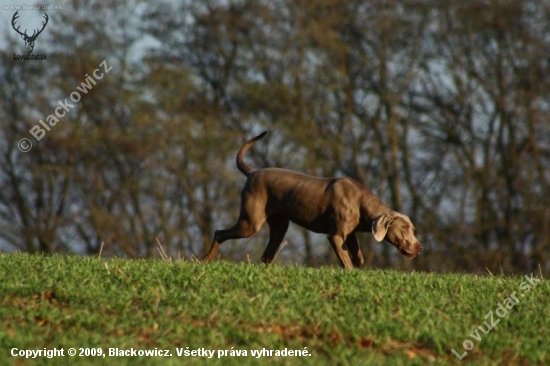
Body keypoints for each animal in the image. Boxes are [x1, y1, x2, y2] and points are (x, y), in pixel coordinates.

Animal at [205, 132, 424, 268]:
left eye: (412, 229)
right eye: (404, 229)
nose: (420, 247)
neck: (361, 203)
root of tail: (252, 172)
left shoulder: (351, 235)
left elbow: (358, 258)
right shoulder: (335, 236)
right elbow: (347, 262)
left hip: (279, 225)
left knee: (267, 254)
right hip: (250, 222)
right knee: (219, 233)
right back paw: (206, 259)